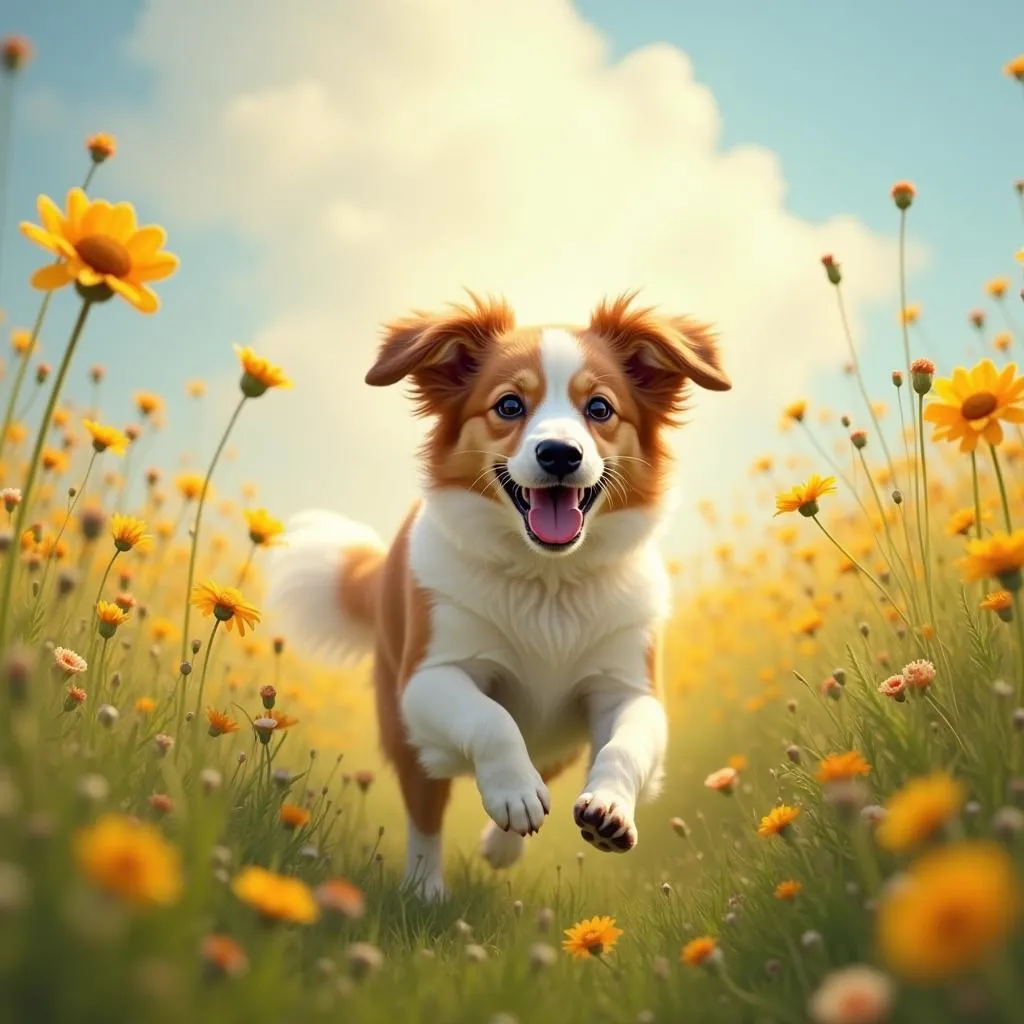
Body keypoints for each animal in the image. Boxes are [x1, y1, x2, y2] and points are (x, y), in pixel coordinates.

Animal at [264, 288, 729, 897]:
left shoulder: (626, 686)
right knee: (426, 809)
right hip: (409, 735)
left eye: (600, 409)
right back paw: (426, 890)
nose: (560, 454)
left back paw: (504, 844)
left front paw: (607, 809)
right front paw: (513, 792)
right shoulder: (429, 678)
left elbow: (624, 745)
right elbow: (491, 720)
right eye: (509, 406)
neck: (548, 582)